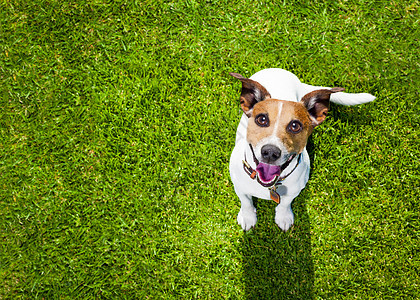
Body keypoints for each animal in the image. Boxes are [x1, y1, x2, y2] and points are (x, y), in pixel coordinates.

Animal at [230, 68, 374, 232]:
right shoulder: (239, 186)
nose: (270, 152)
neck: (271, 185)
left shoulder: (294, 190)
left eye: (295, 126)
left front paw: (283, 216)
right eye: (261, 119)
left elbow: (285, 203)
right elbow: (246, 201)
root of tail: (278, 70)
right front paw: (248, 216)